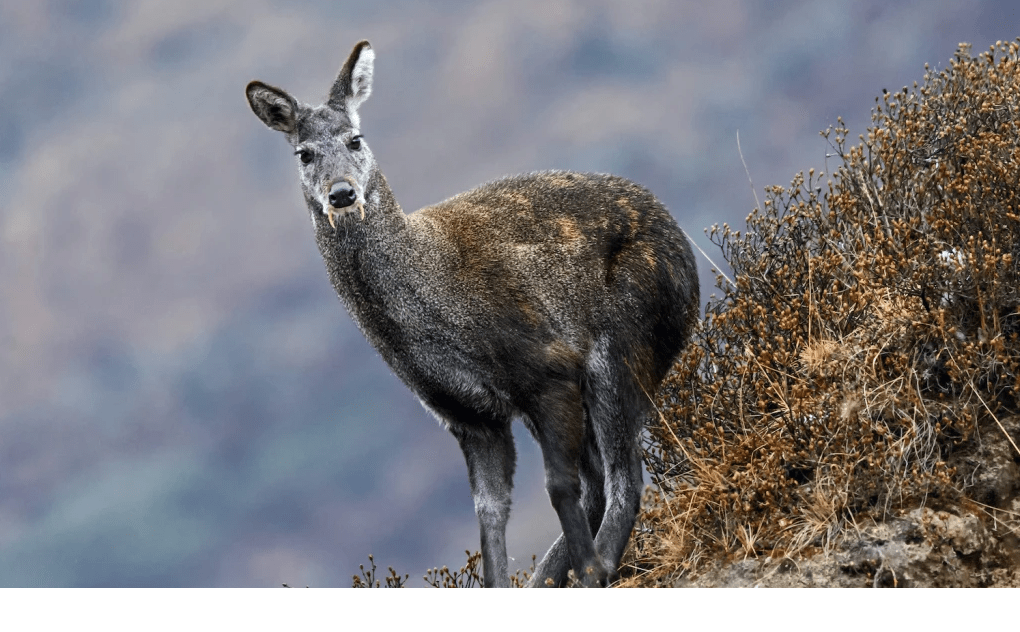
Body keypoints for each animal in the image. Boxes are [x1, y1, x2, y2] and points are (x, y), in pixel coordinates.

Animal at [245, 40, 699, 587]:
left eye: (355, 139)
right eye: (304, 153)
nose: (341, 193)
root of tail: (685, 252)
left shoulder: (546, 366)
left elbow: (558, 485)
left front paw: (590, 569)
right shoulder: (469, 415)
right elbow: (489, 514)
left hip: (624, 341)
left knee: (623, 475)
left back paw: (599, 566)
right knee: (603, 479)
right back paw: (547, 578)